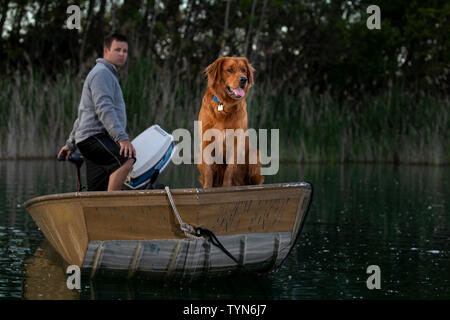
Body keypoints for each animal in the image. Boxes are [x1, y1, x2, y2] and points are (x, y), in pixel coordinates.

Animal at [197, 56, 264, 189]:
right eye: (230, 70)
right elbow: (208, 171)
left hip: (255, 155)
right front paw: (207, 187)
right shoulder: (206, 141)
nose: (244, 79)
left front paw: (227, 187)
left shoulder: (236, 142)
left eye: (244, 70)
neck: (224, 105)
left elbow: (230, 169)